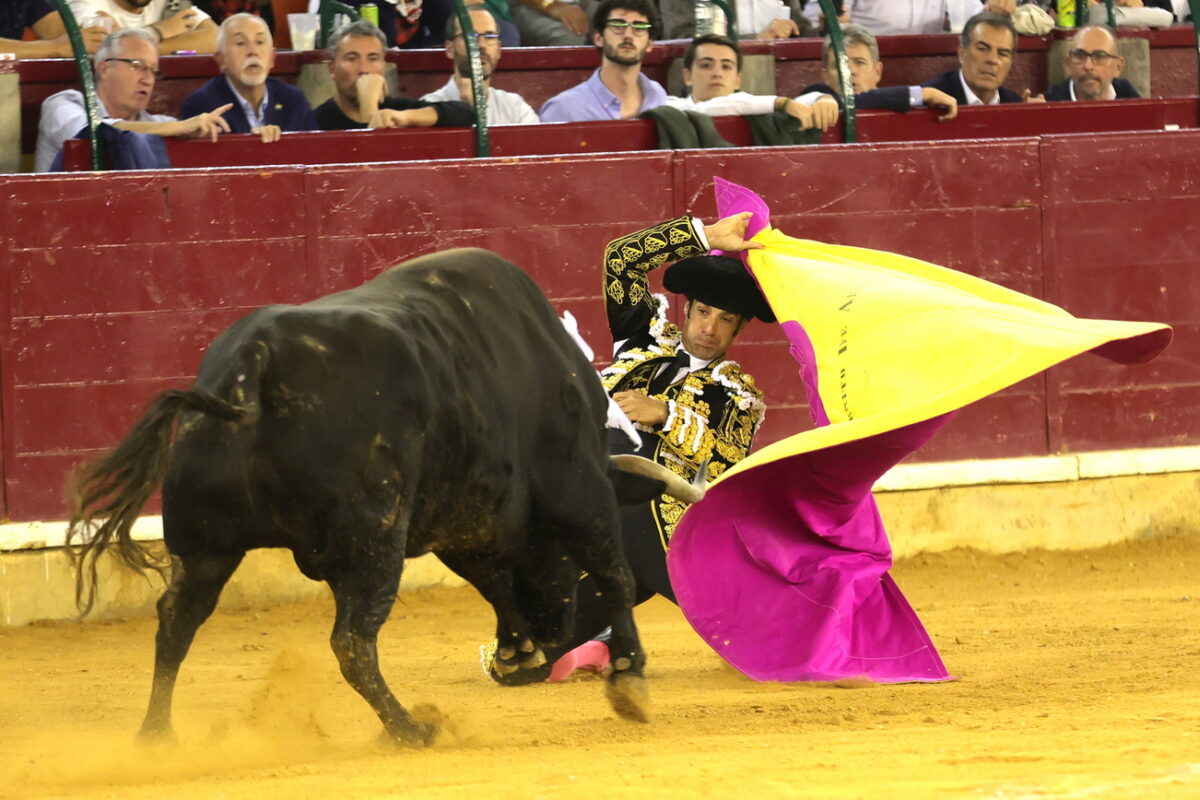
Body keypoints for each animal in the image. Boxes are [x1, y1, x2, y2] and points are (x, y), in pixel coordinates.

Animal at [68, 248, 700, 743]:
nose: (555, 634)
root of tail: (255, 360)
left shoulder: (461, 516)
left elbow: (492, 579)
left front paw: (516, 653)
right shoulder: (577, 488)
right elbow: (613, 572)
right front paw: (628, 678)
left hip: (205, 542)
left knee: (177, 620)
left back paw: (156, 735)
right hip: (372, 540)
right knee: (351, 642)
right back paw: (412, 729)